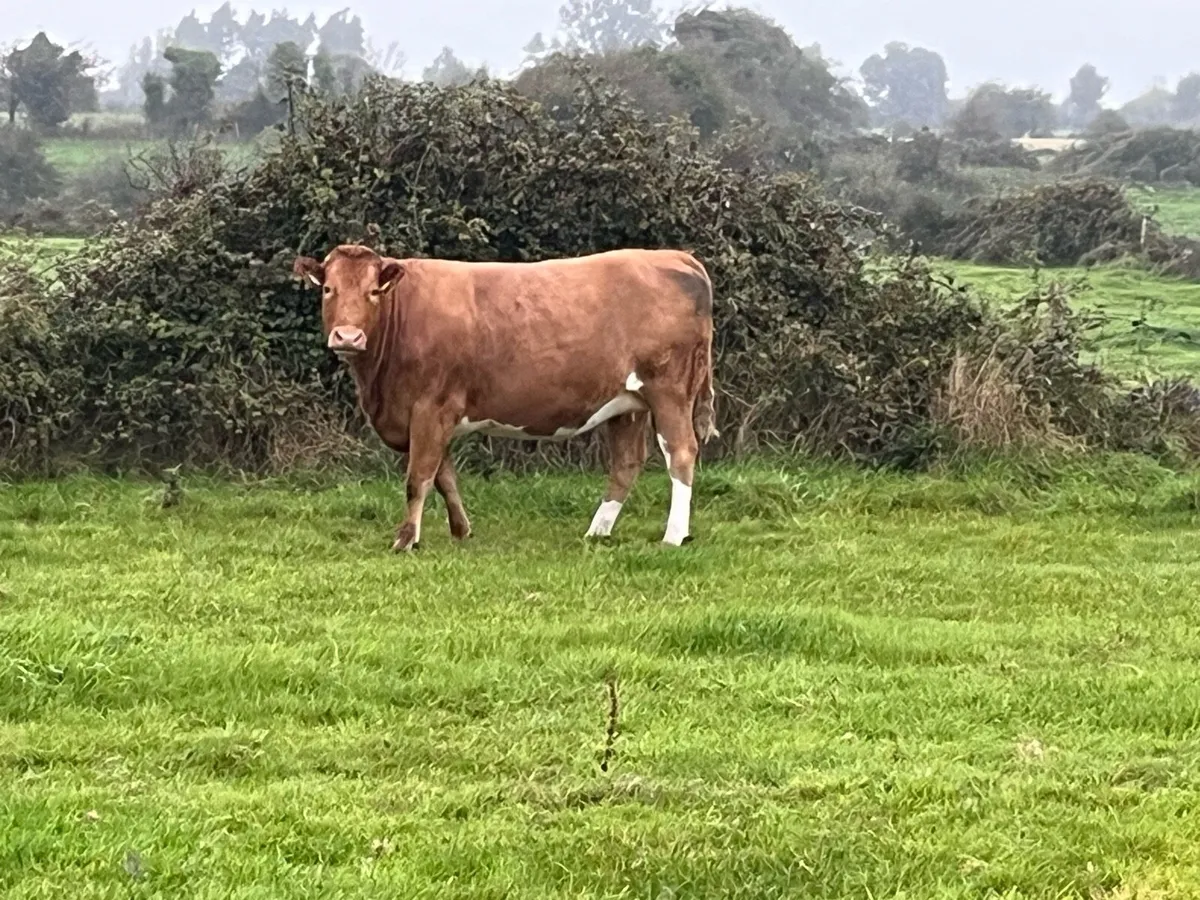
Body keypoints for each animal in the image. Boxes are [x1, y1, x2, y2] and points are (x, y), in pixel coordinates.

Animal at [291, 244, 719, 551]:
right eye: (328, 289)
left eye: (372, 292)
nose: (348, 336)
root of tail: (674, 256)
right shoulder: (432, 416)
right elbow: (445, 476)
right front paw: (461, 530)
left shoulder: (430, 407)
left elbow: (419, 477)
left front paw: (405, 539)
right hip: (626, 403)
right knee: (627, 463)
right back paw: (597, 532)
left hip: (668, 391)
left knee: (681, 453)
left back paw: (673, 536)